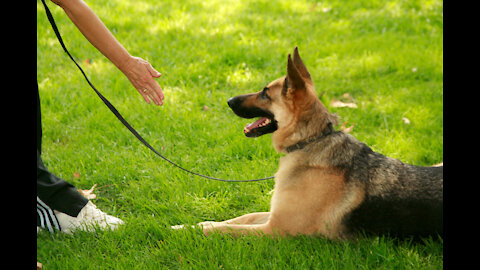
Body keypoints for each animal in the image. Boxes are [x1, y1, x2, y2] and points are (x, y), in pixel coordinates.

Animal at [172, 47, 442, 239]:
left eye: (265, 93)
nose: (228, 100)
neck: (310, 141)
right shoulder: (273, 215)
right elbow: (241, 217)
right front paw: (191, 223)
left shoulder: (275, 229)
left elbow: (226, 229)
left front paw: (189, 229)